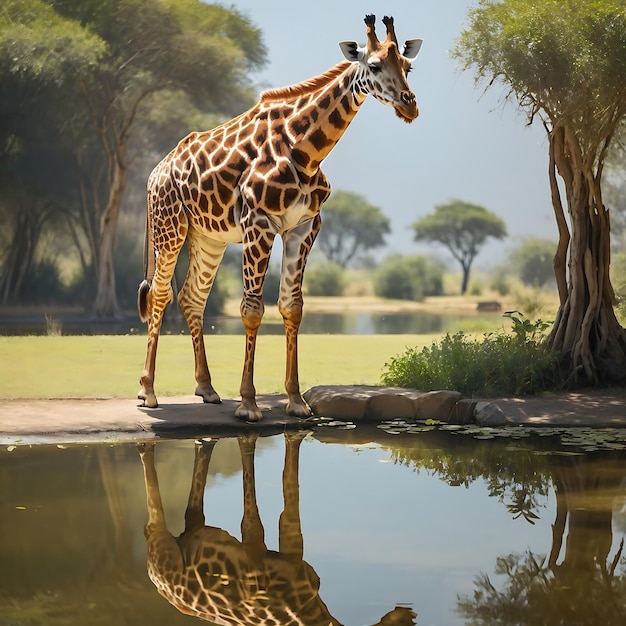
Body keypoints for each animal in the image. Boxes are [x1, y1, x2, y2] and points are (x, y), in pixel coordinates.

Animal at [136, 14, 420, 420]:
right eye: (375, 65)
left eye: (408, 67)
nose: (409, 105)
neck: (305, 151)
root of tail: (154, 172)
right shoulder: (259, 223)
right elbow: (252, 309)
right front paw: (249, 404)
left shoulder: (304, 226)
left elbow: (292, 307)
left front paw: (297, 401)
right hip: (169, 227)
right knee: (161, 295)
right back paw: (148, 392)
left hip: (208, 237)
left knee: (192, 297)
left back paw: (207, 389)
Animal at [139, 434, 416, 624]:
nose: (409, 610)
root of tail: (152, 574)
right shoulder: (264, 553)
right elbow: (265, 507)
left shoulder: (292, 557)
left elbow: (288, 487)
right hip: (163, 543)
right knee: (152, 523)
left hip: (190, 530)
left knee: (194, 511)